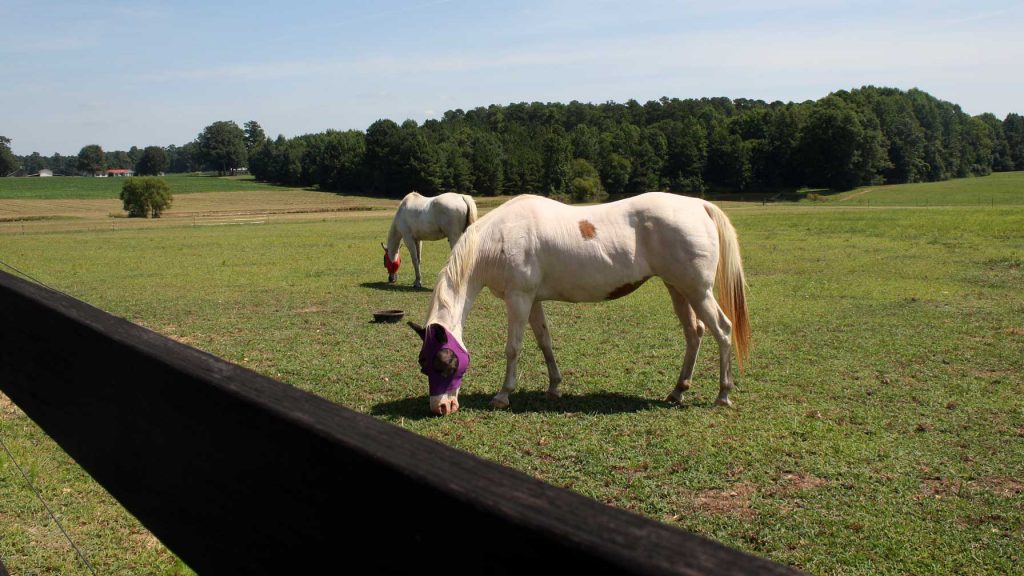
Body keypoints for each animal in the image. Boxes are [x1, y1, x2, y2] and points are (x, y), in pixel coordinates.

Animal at [407, 191, 753, 412]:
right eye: (424, 364)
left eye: (444, 361)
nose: (440, 407)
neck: (498, 239)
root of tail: (699, 205)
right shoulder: (532, 300)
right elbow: (544, 342)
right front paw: (554, 387)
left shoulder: (518, 299)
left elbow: (514, 348)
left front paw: (503, 395)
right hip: (678, 289)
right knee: (694, 333)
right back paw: (678, 391)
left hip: (698, 291)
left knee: (723, 330)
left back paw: (723, 394)